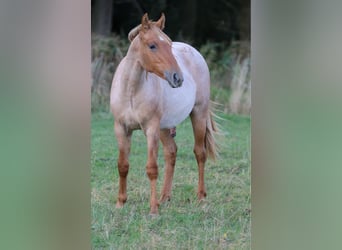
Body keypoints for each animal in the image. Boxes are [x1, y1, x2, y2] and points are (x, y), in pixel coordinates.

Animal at [111, 12, 218, 214]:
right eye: (152, 45)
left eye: (169, 45)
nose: (177, 78)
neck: (131, 91)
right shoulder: (121, 128)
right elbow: (123, 165)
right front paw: (120, 203)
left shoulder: (151, 129)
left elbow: (152, 168)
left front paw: (153, 209)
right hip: (164, 128)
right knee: (171, 152)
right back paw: (164, 197)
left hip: (198, 114)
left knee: (200, 153)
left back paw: (200, 196)